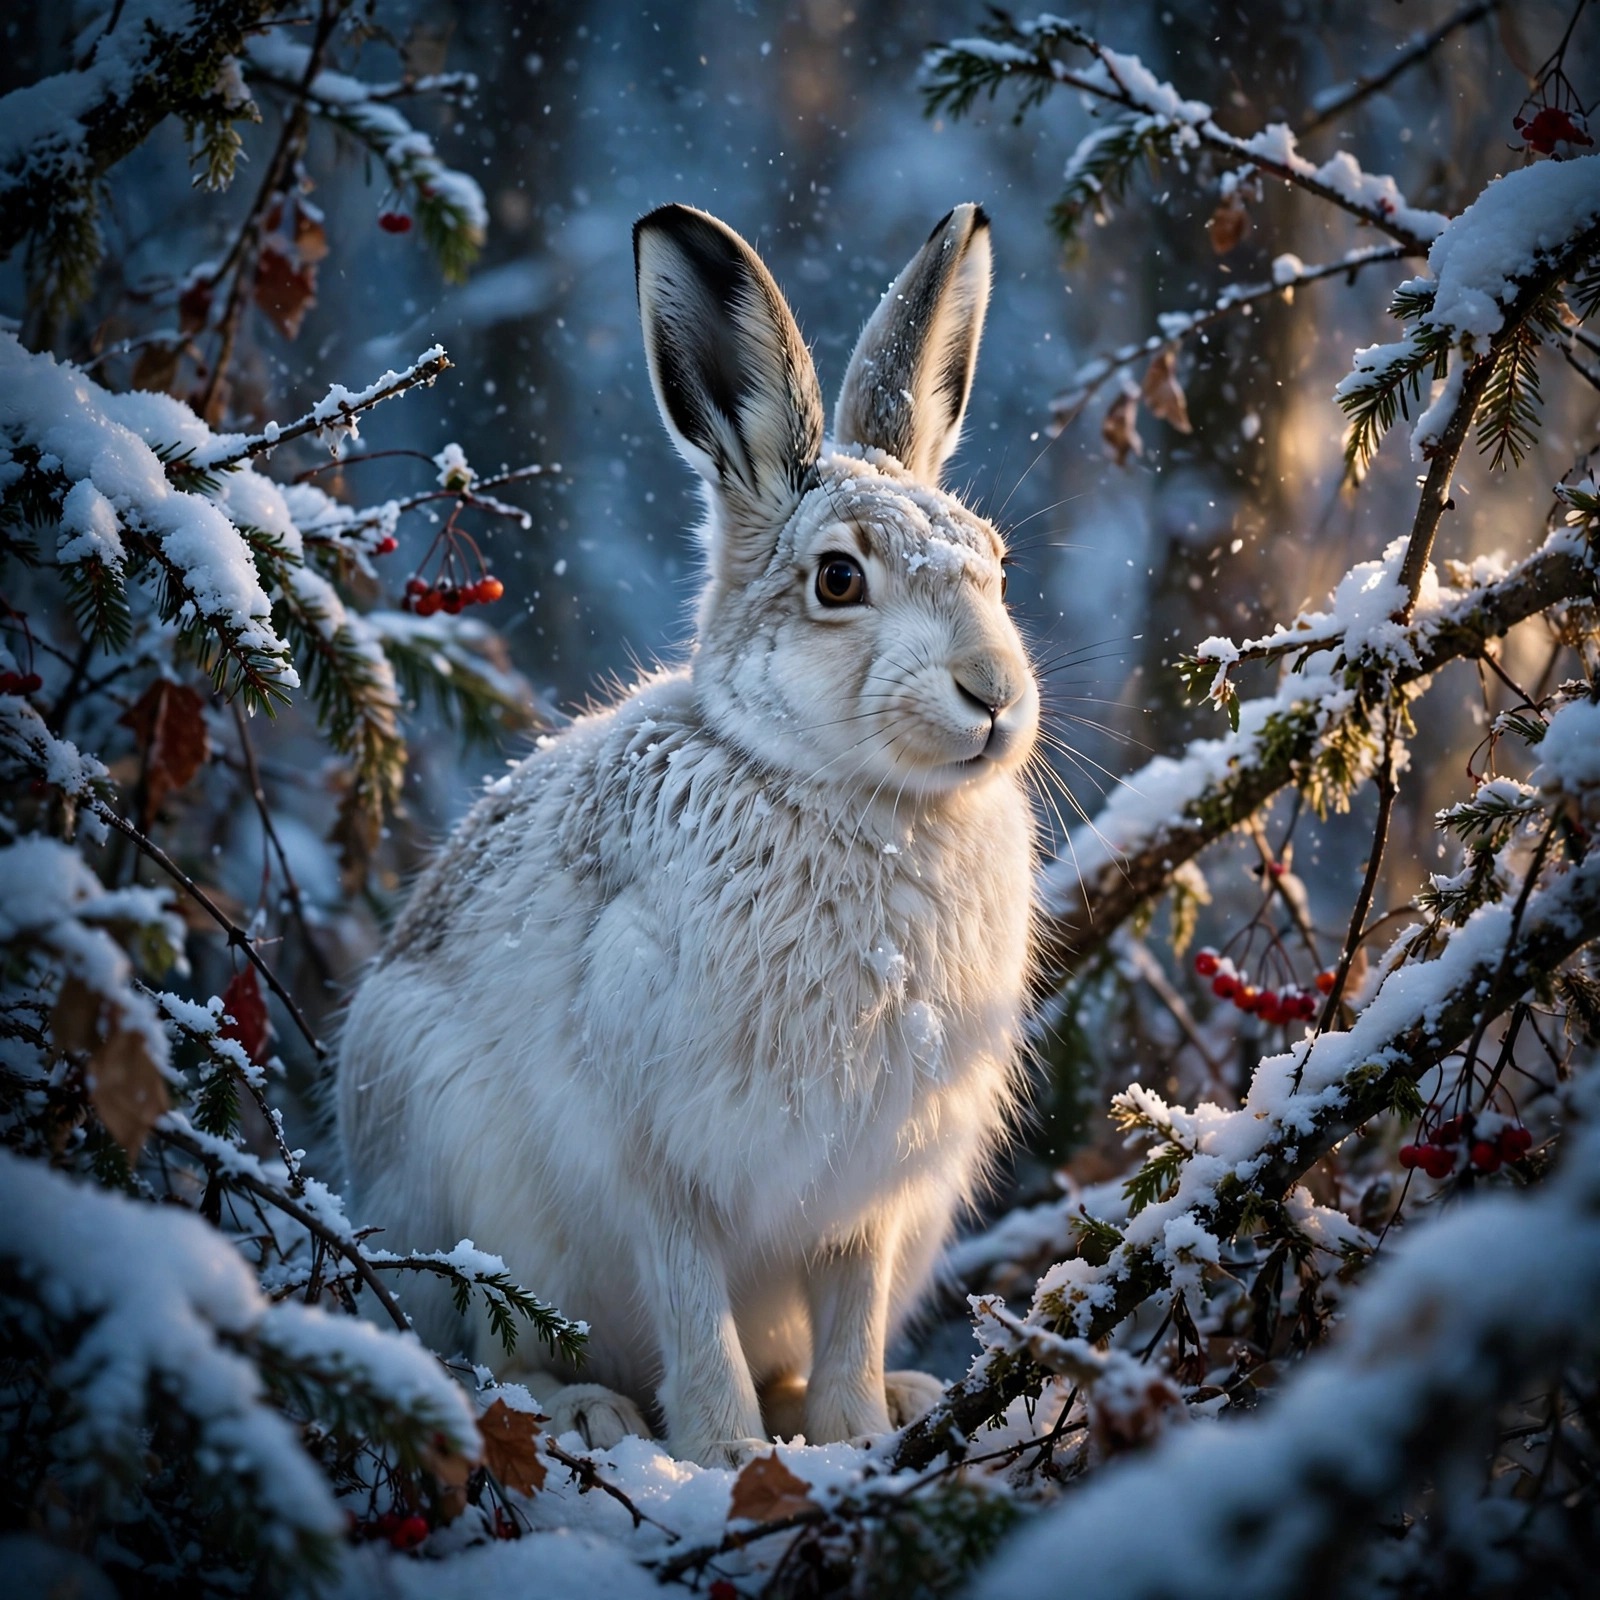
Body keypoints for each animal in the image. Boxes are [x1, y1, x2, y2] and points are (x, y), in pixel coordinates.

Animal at [337, 201, 1039, 1469]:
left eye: (997, 565)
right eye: (837, 579)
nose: (994, 694)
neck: (851, 799)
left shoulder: (873, 1185)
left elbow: (852, 1309)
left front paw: (855, 1435)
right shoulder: (654, 1159)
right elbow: (691, 1307)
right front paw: (725, 1456)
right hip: (445, 1198)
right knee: (471, 1348)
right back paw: (589, 1411)